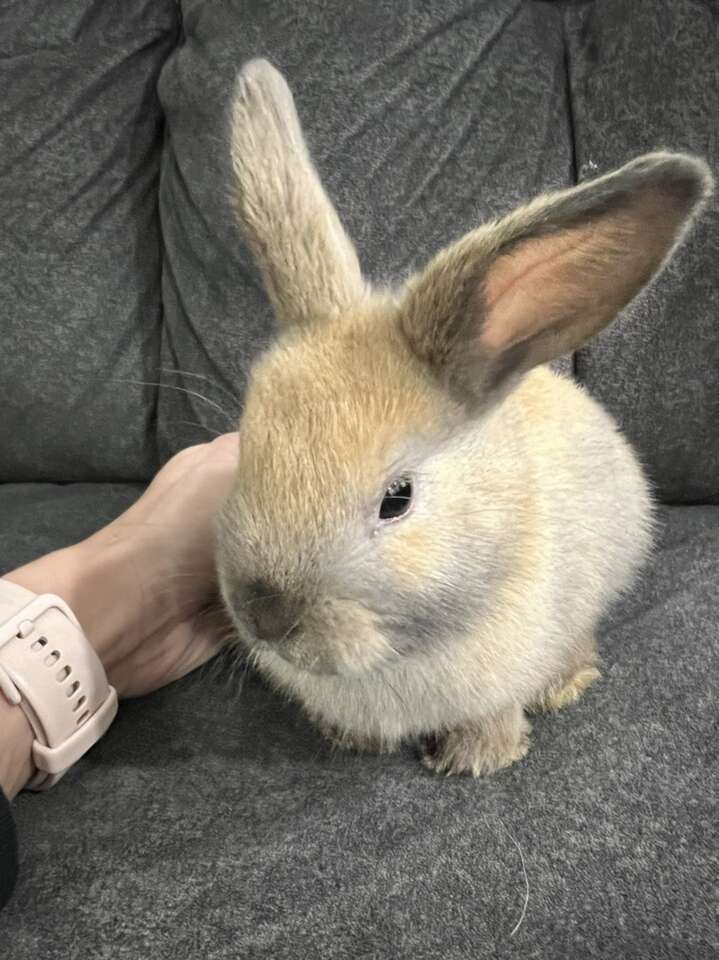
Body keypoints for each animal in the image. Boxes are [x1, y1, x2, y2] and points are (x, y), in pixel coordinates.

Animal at [215, 60, 716, 776]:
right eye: (245, 451)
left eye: (397, 498)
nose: (264, 615)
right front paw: (353, 739)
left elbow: (493, 714)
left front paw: (478, 759)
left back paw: (565, 685)